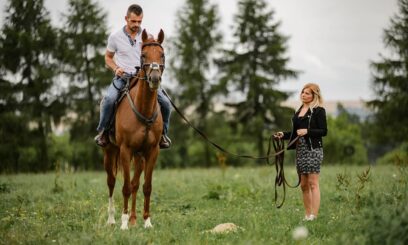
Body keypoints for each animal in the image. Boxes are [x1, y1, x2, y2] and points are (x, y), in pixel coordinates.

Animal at [103, 28, 165, 230]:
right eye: (143, 54)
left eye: (162, 54)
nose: (155, 78)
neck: (143, 108)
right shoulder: (125, 150)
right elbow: (125, 187)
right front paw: (123, 224)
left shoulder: (152, 151)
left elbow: (146, 186)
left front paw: (147, 221)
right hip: (110, 151)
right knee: (112, 182)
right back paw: (112, 220)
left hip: (139, 157)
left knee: (136, 183)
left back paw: (133, 218)